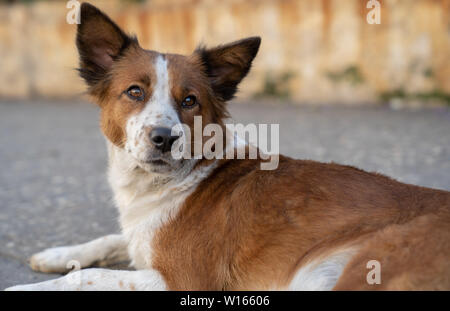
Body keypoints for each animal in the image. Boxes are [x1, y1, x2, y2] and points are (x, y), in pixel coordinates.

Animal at [6, 2, 450, 292]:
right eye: (134, 92)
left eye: (189, 101)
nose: (164, 138)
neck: (174, 182)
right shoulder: (141, 237)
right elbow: (109, 240)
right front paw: (56, 254)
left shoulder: (181, 280)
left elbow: (87, 276)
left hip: (365, 267)